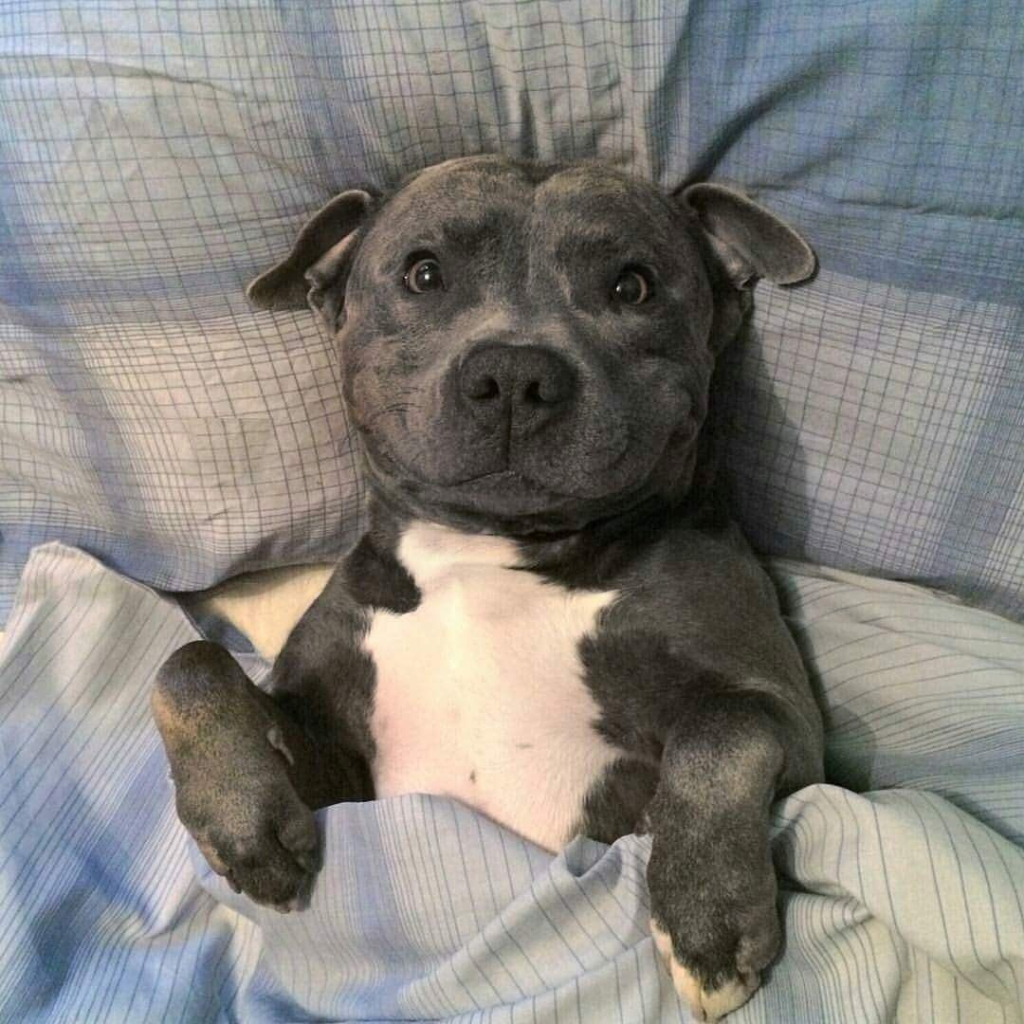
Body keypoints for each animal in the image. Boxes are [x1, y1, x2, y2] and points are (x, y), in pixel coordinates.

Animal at [151, 155, 823, 1019]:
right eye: (423, 273)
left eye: (633, 286)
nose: (514, 372)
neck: (491, 551)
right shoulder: (340, 766)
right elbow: (189, 664)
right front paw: (242, 818)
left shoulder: (793, 724)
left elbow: (725, 726)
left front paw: (709, 915)